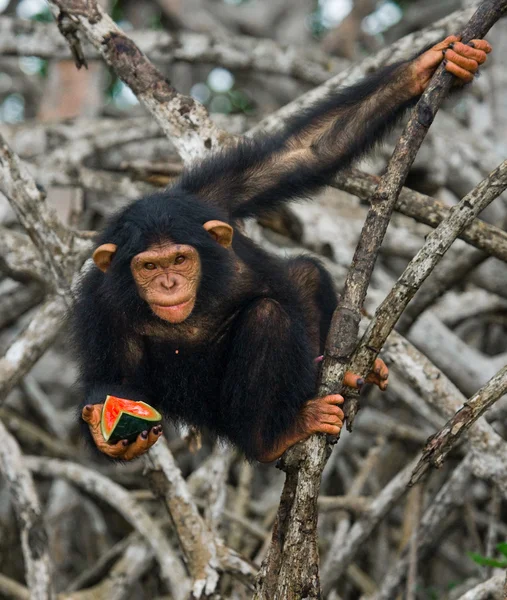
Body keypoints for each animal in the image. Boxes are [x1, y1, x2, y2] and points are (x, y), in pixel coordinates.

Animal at [72, 35, 492, 462]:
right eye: (149, 267)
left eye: (179, 259)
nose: (168, 284)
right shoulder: (100, 306)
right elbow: (114, 380)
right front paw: (105, 432)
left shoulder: (207, 197)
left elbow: (302, 153)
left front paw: (425, 67)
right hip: (226, 420)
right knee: (268, 318)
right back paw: (272, 438)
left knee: (301, 278)